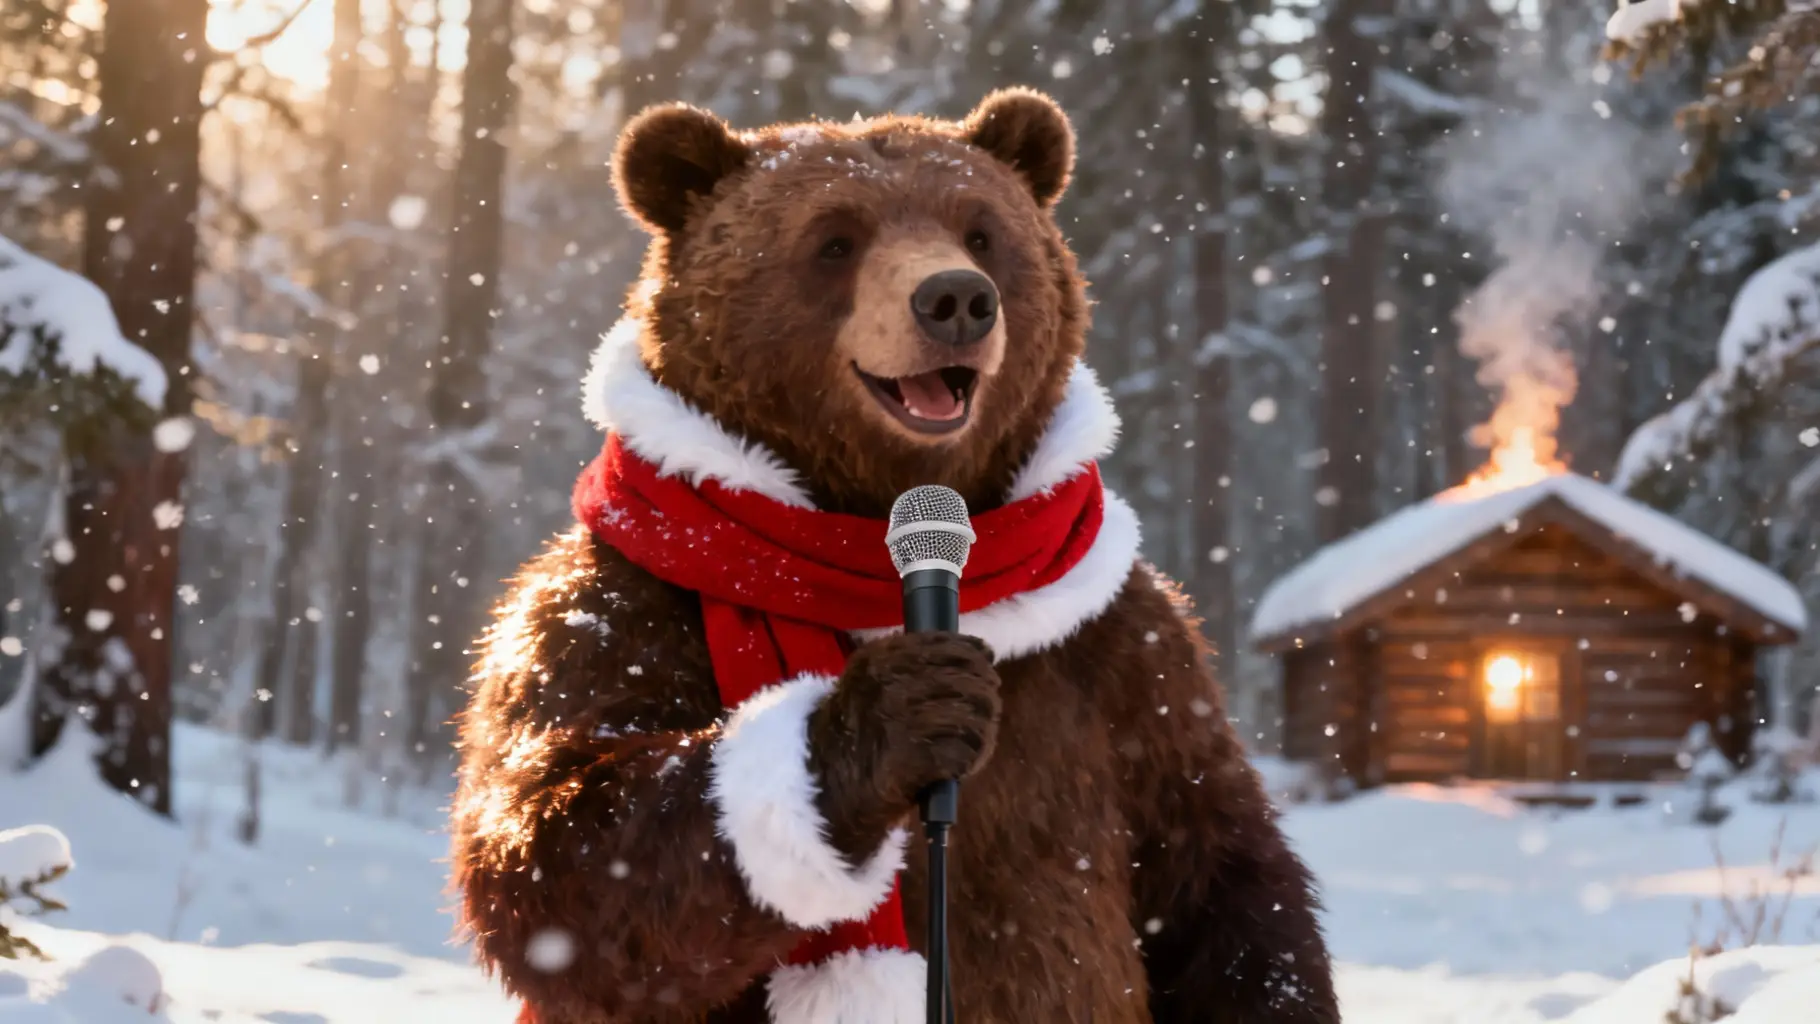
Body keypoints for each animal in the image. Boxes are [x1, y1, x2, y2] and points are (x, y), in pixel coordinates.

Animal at [450, 88, 1340, 1024]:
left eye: (982, 230)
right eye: (834, 239)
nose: (955, 298)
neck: (872, 532)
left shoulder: (1127, 649)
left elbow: (1216, 858)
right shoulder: (611, 606)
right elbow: (561, 843)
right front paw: (897, 709)